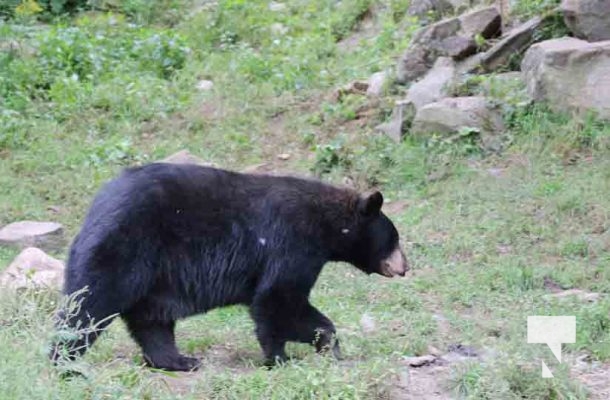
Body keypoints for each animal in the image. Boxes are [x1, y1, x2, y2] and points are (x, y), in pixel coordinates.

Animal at [50, 163, 406, 372]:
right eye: (395, 238)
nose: (405, 267)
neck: (326, 226)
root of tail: (95, 207)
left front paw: (326, 347)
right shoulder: (292, 244)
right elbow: (278, 300)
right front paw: (284, 357)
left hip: (153, 275)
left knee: (151, 321)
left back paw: (180, 360)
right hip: (123, 247)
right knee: (88, 305)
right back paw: (64, 360)